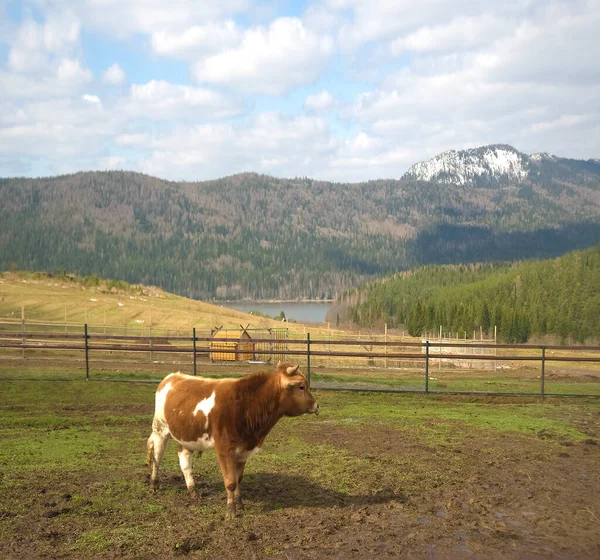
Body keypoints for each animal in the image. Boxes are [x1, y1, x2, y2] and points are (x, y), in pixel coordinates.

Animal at [146, 360, 318, 520]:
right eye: (301, 387)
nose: (316, 406)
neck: (246, 404)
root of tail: (172, 376)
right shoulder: (224, 449)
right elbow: (230, 482)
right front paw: (230, 510)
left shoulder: (243, 450)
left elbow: (238, 479)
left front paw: (240, 503)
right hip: (160, 429)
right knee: (156, 458)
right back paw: (153, 485)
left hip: (188, 436)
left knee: (184, 460)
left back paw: (193, 490)